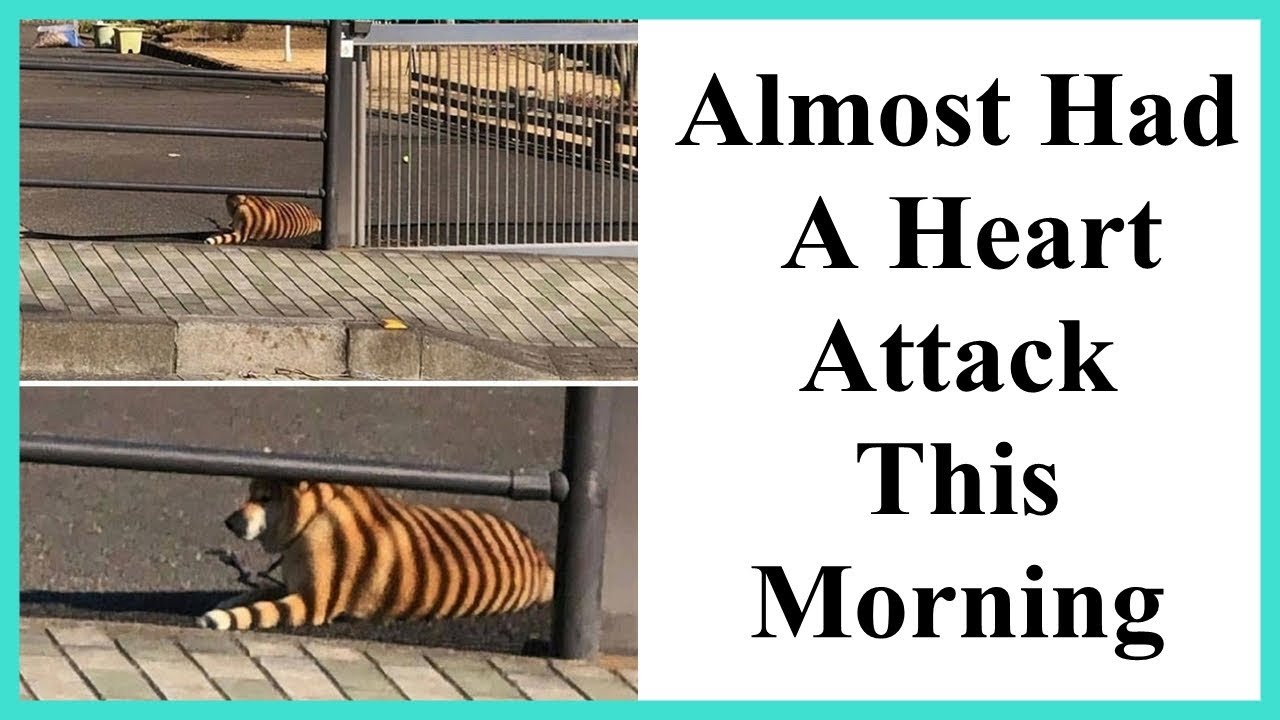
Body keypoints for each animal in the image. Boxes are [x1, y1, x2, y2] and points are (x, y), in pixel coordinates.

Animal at [197, 478, 555, 632]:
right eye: (251, 494)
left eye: (265, 498)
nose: (229, 522)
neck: (315, 516)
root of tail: (542, 563)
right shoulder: (294, 583)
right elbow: (260, 591)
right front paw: (231, 600)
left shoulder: (313, 603)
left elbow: (260, 611)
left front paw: (220, 618)